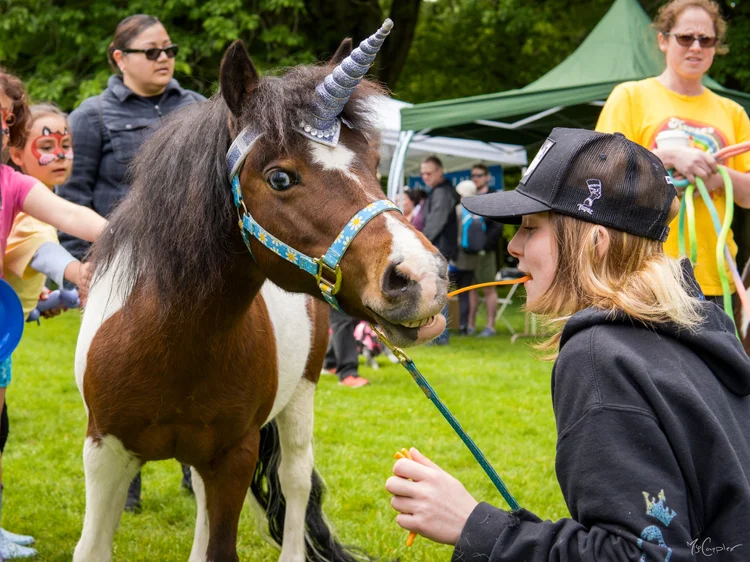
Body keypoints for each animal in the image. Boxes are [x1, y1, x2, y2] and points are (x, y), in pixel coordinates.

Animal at [72, 22, 448, 562]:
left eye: (375, 160)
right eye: (280, 177)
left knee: (294, 483)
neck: (170, 343)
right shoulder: (105, 454)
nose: (423, 278)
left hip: (301, 397)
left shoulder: (234, 456)